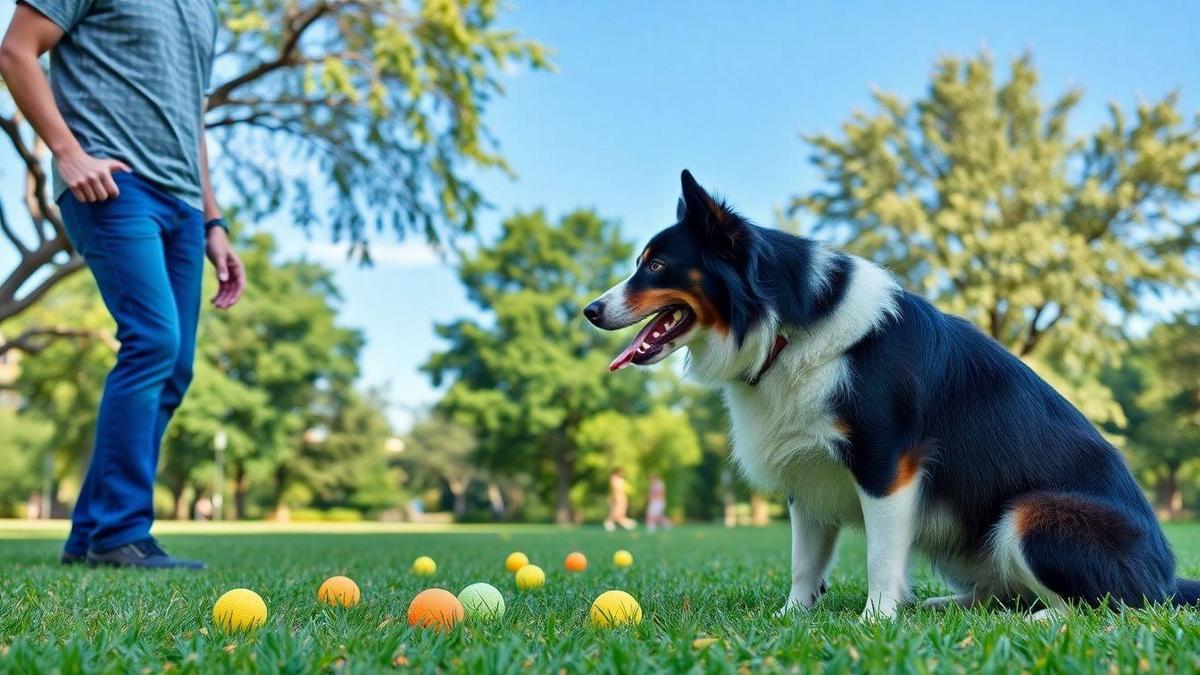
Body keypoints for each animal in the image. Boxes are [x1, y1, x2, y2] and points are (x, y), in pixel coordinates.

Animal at [583, 170, 1200, 619]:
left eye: (656, 265)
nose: (589, 310)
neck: (787, 324)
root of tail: (1167, 579)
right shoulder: (806, 471)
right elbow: (804, 561)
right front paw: (792, 617)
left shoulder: (888, 464)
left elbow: (881, 558)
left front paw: (876, 620)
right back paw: (951, 605)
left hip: (1032, 516)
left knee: (1109, 606)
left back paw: (1038, 619)